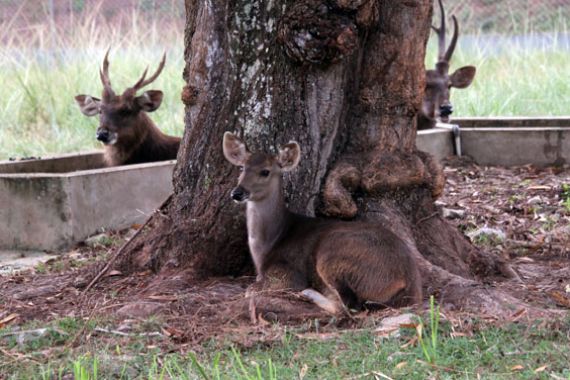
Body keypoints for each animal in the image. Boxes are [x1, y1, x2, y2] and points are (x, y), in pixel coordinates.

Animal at [222, 132, 422, 314]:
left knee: (348, 306)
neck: (269, 244)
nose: (237, 192)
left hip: (333, 256)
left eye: (265, 171)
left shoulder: (288, 272)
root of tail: (407, 284)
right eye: (242, 168)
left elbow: (251, 289)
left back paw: (309, 293)